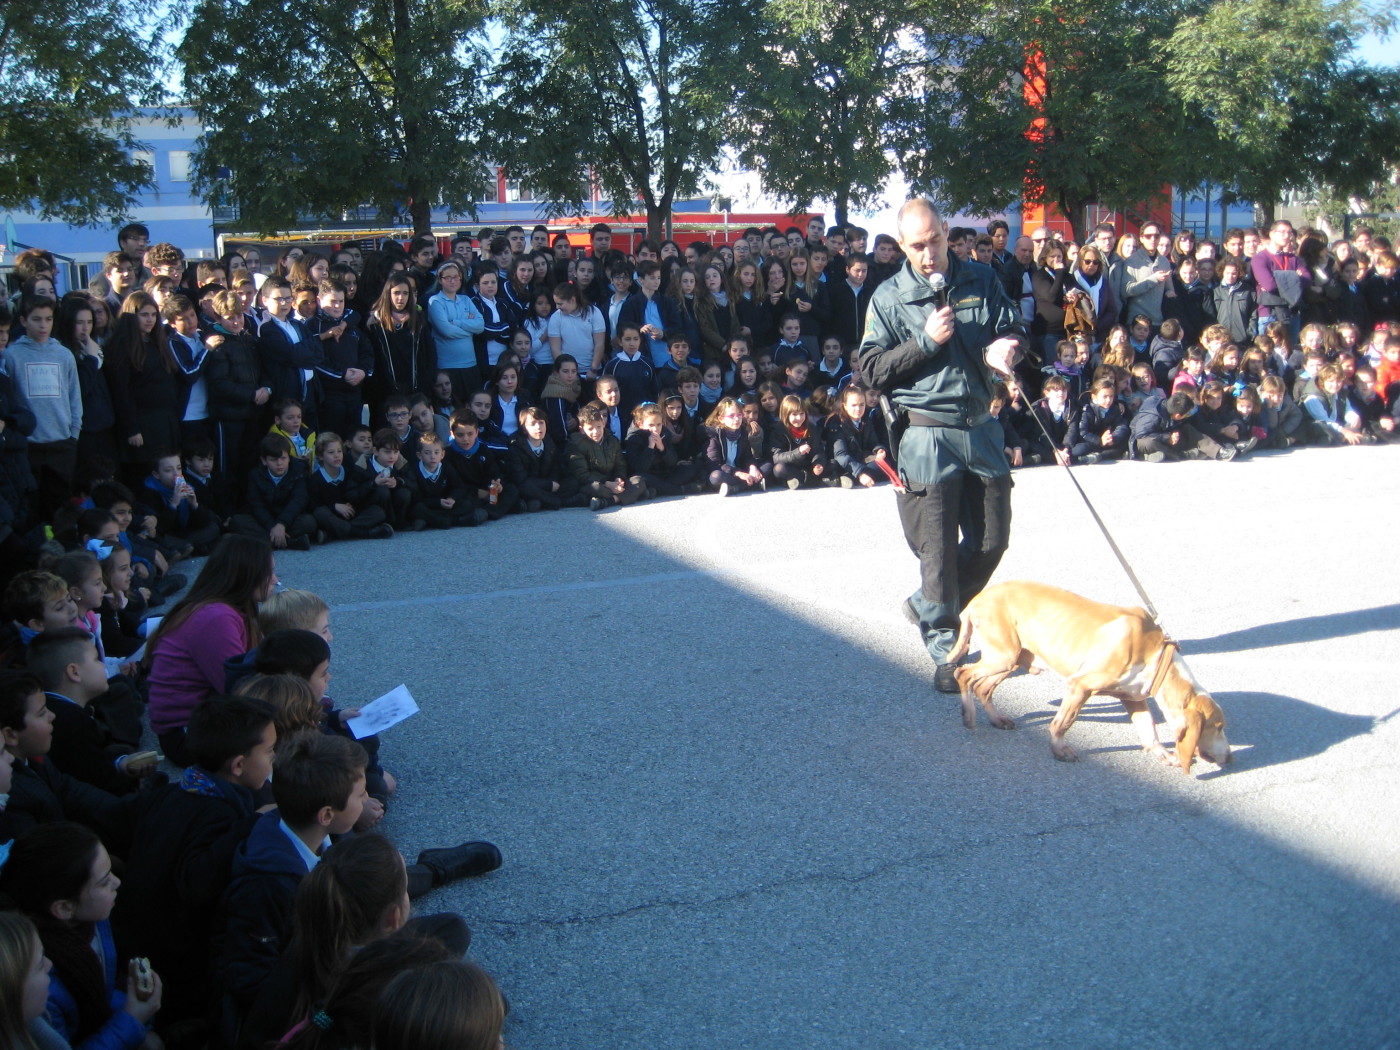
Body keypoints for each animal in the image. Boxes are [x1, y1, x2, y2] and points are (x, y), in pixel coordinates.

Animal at [946, 585, 1232, 772]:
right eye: (1218, 727)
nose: (1230, 758)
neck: (1158, 656)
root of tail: (979, 597)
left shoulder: (1133, 697)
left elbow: (1148, 728)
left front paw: (1162, 754)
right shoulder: (1080, 686)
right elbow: (1063, 723)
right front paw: (1059, 751)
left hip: (1012, 658)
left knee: (983, 687)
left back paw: (996, 719)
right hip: (1004, 655)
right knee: (963, 673)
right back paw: (968, 716)